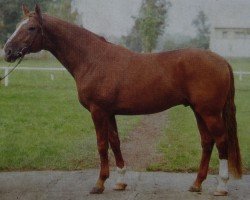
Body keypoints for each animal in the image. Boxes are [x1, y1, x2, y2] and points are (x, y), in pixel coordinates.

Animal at [3, 4, 242, 195]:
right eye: (18, 26)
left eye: (31, 28)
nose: (7, 51)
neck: (93, 59)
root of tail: (222, 60)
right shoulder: (109, 113)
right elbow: (115, 142)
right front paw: (120, 182)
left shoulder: (98, 111)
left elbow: (101, 145)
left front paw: (99, 184)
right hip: (198, 110)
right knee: (207, 142)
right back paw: (196, 184)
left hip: (210, 112)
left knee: (222, 141)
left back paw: (221, 187)